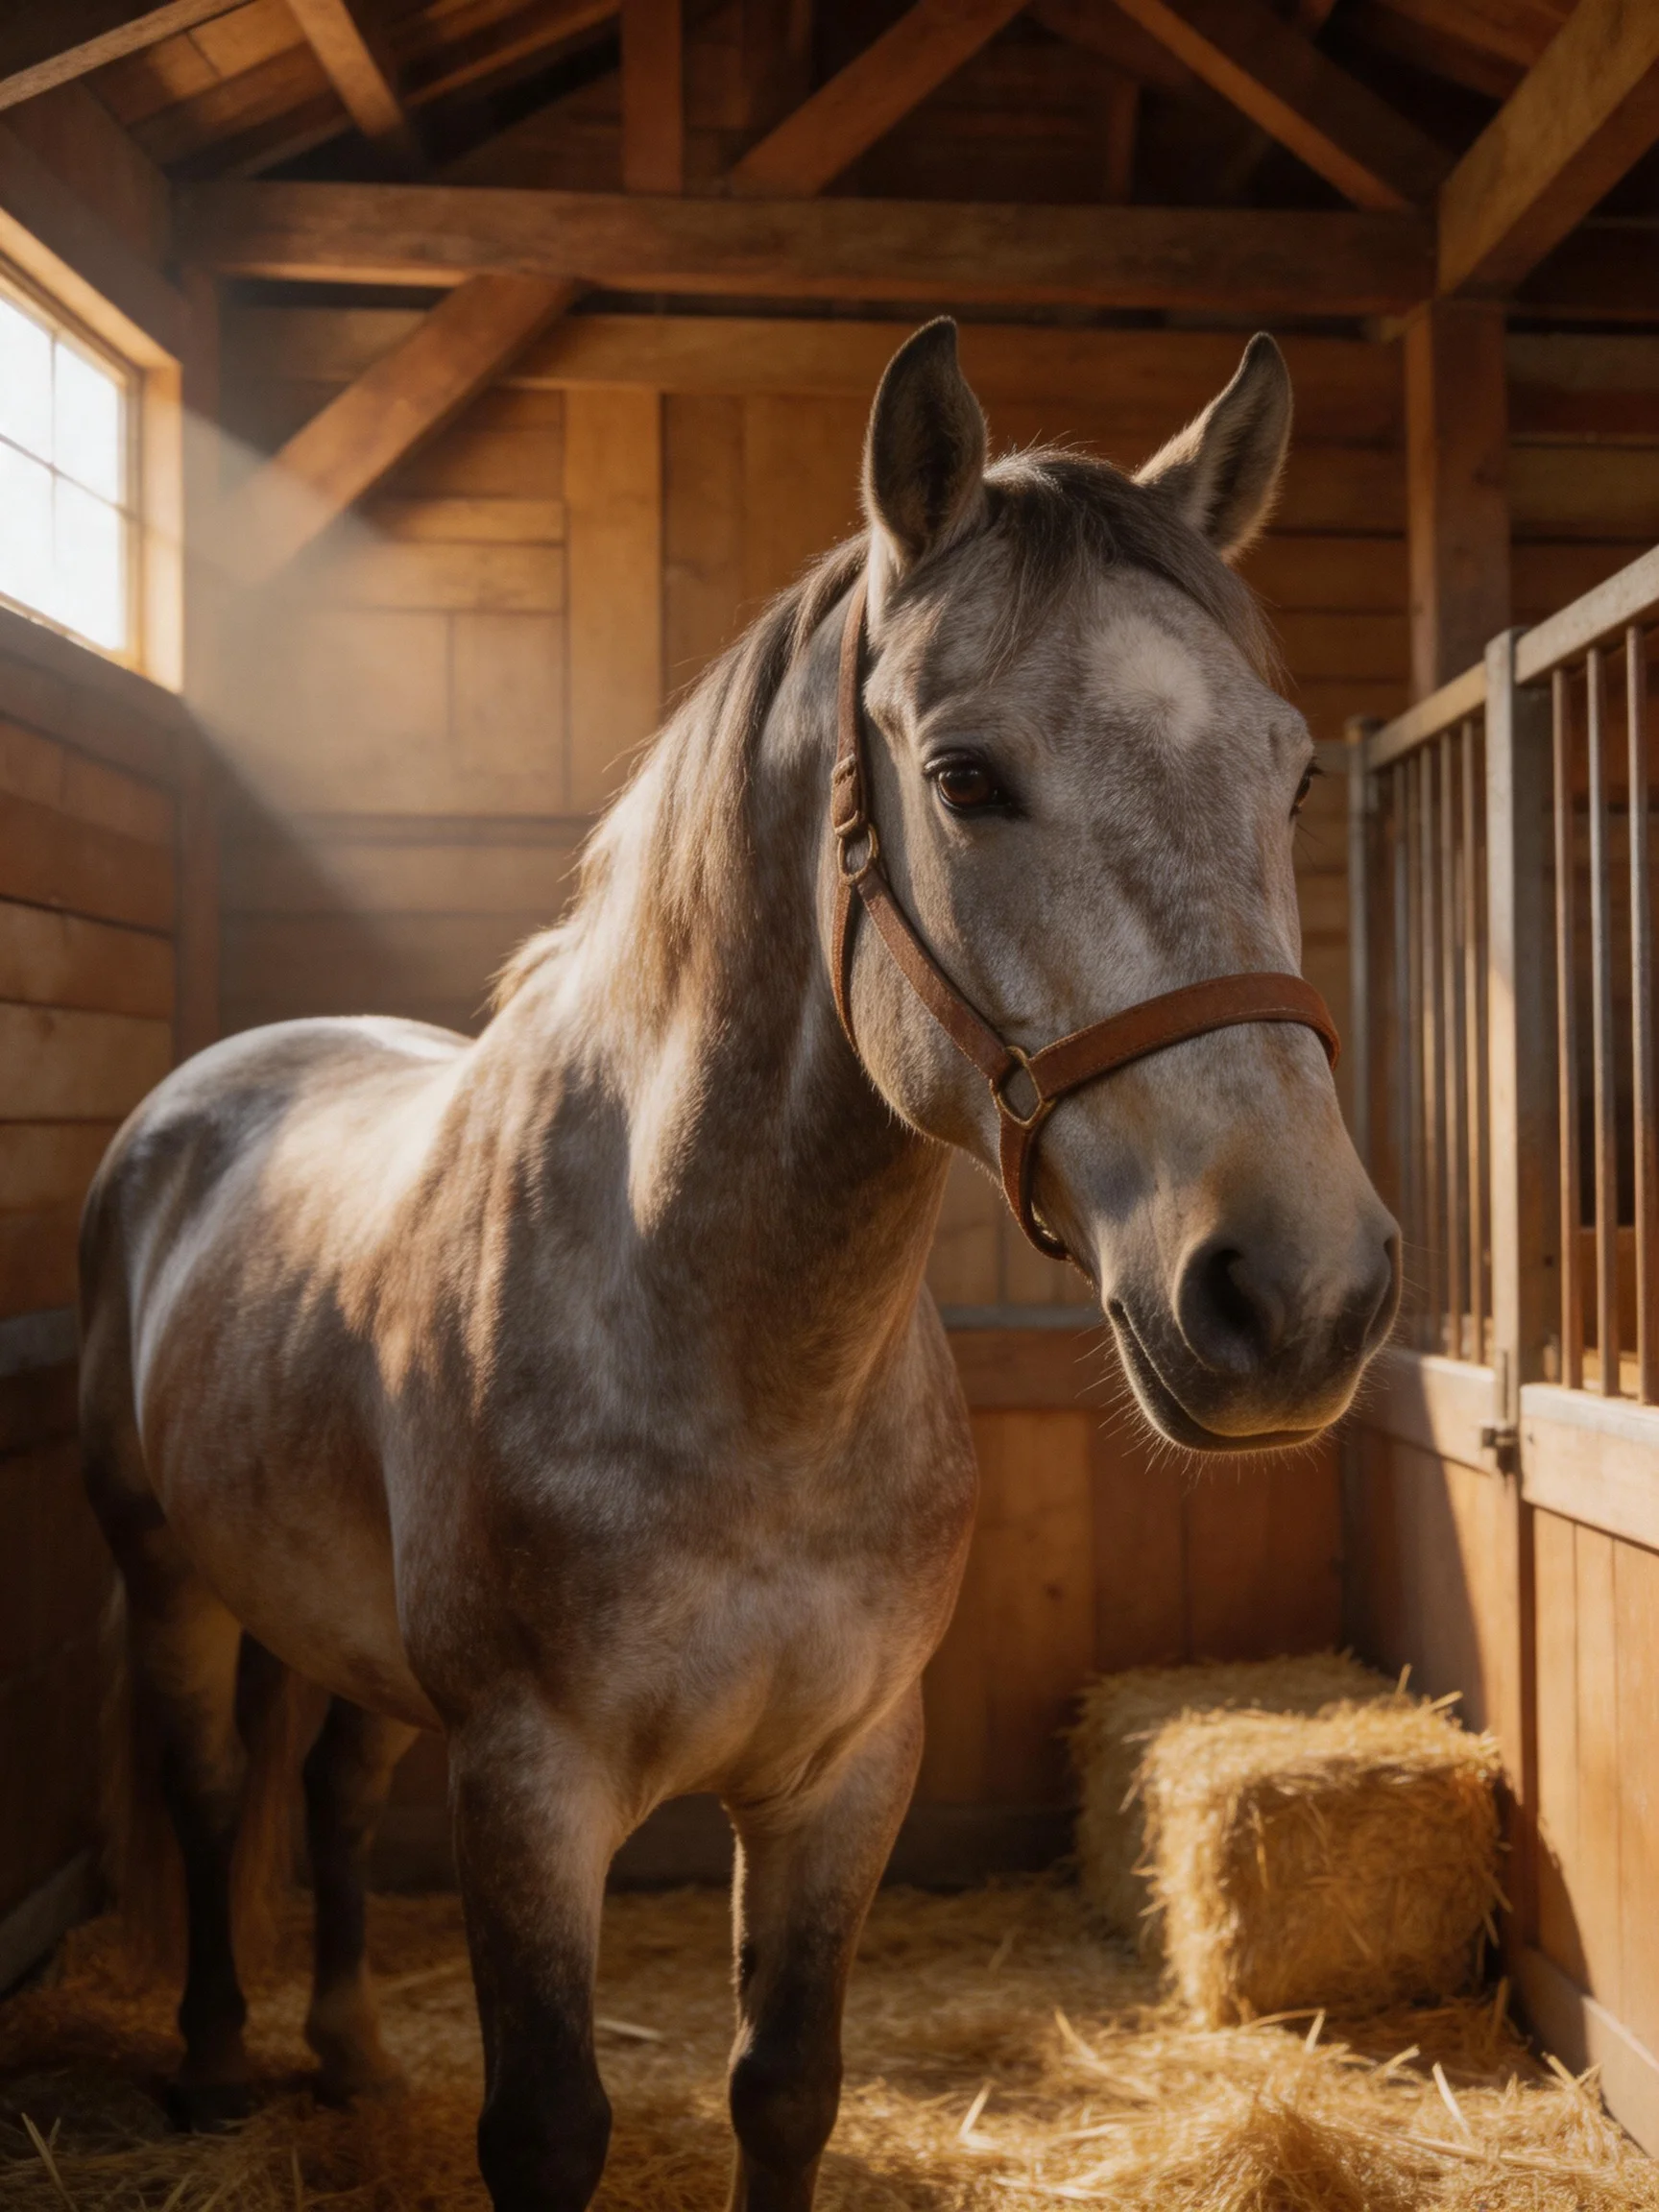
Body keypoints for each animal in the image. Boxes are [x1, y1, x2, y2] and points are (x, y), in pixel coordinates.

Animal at [79, 318, 1399, 2212]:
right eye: (963, 777)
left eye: (1288, 771)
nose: (1297, 1295)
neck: (733, 1349)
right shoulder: (530, 1784)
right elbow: (547, 2126)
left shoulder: (844, 1773)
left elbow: (784, 2089)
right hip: (170, 1571)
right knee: (202, 1789)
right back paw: (203, 2058)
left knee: (324, 1786)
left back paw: (347, 2049)